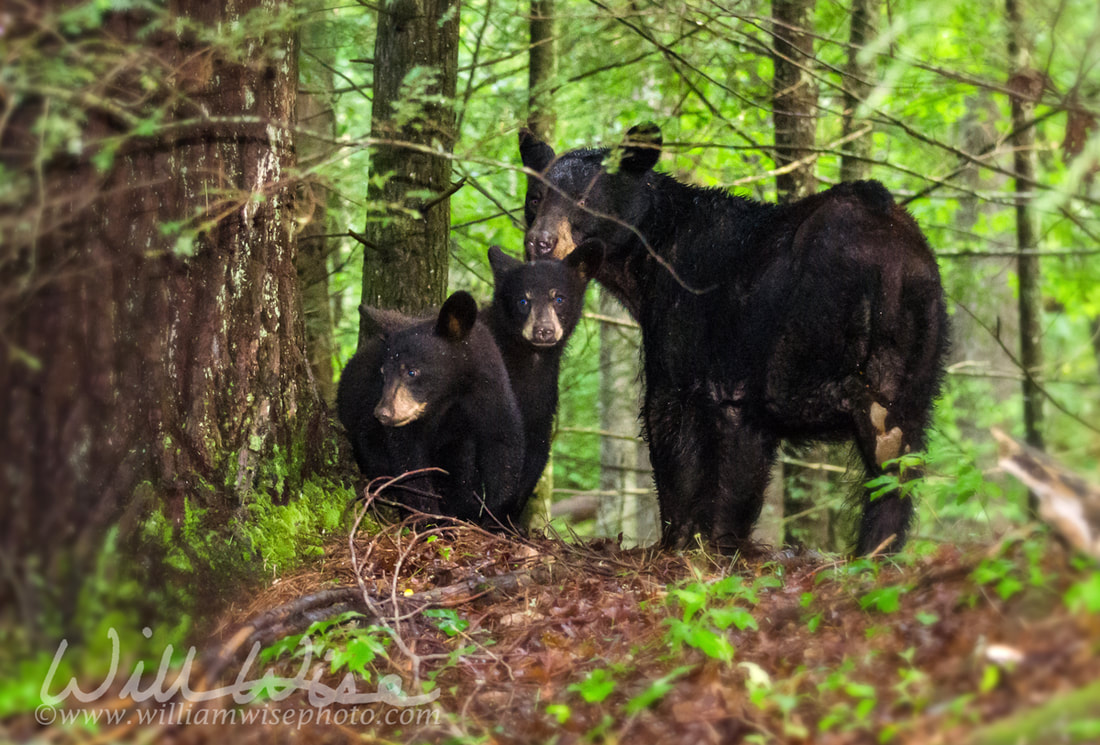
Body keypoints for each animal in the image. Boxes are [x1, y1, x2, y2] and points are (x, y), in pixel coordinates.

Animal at [332, 290, 525, 528]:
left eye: (412, 372)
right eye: (383, 372)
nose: (383, 413)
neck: (448, 396)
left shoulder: (489, 392)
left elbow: (503, 444)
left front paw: (496, 520)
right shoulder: (404, 425)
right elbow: (409, 462)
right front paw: (431, 520)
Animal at [519, 123, 950, 552]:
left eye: (584, 199)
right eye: (535, 197)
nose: (539, 241)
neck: (644, 260)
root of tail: (891, 257)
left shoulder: (682, 317)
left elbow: (671, 418)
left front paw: (677, 540)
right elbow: (743, 453)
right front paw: (722, 543)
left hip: (813, 309)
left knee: (788, 398)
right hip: (921, 333)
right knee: (900, 446)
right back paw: (876, 543)